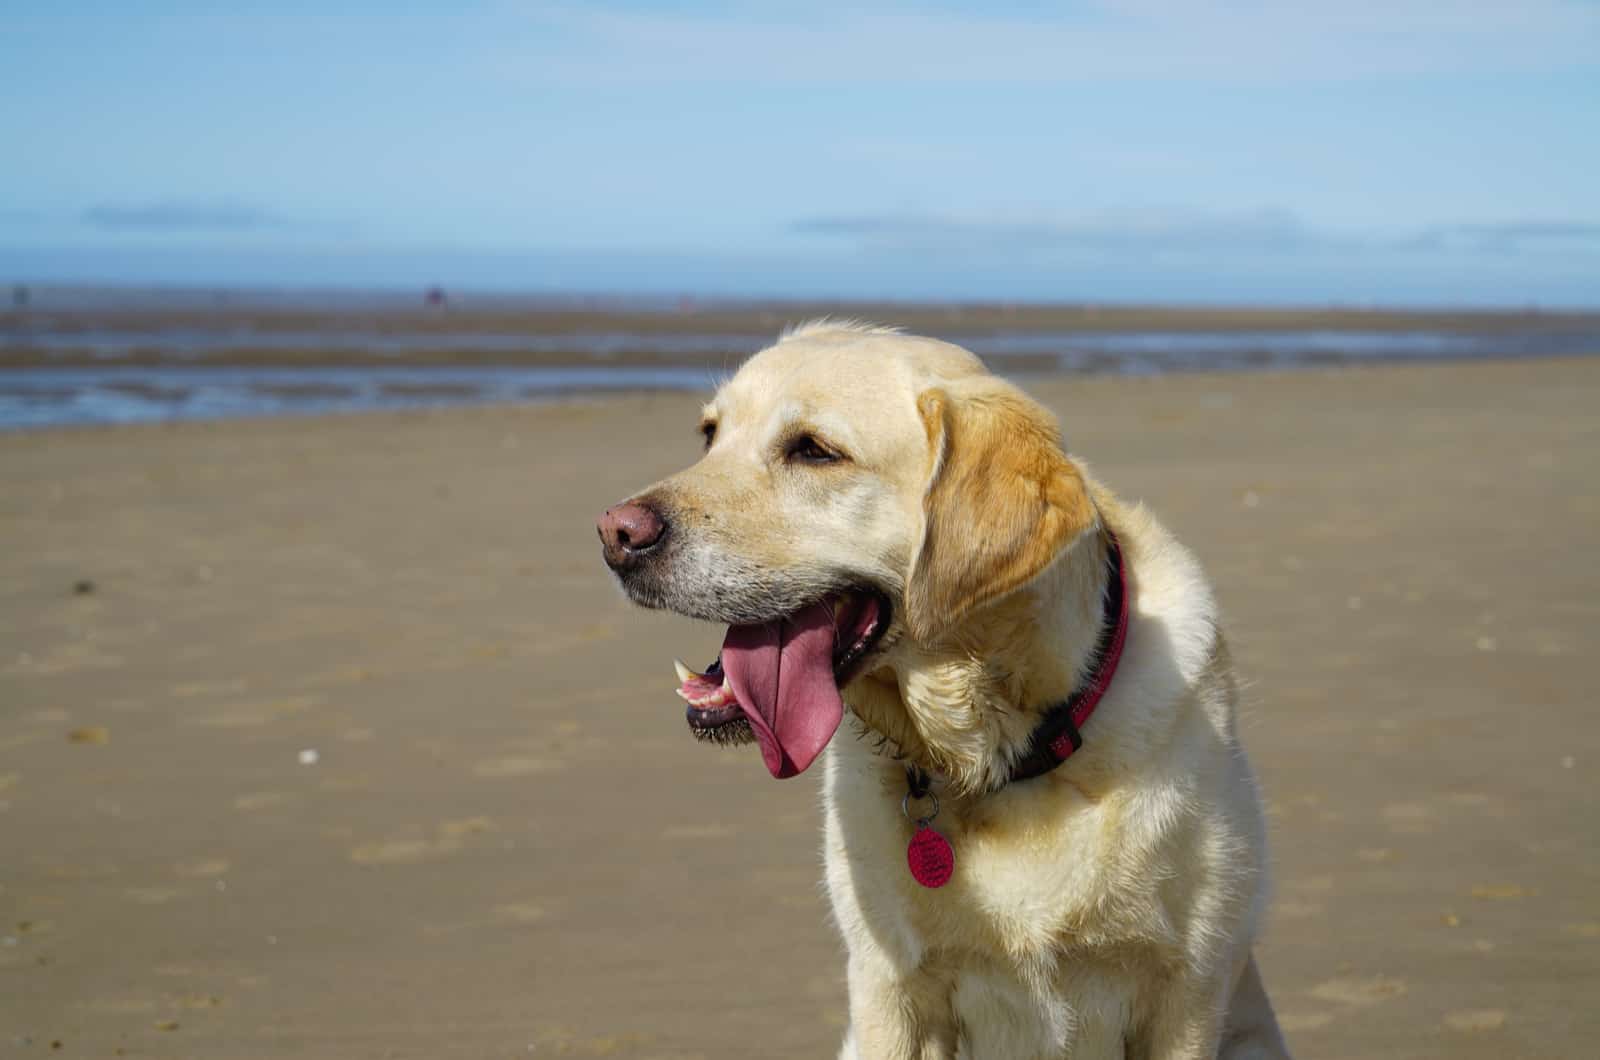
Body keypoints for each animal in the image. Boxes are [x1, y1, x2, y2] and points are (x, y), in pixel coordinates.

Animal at [598, 323, 1286, 1060]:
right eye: (709, 434)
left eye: (814, 450)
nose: (615, 534)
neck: (1003, 756)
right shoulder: (889, 989)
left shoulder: (1186, 993)